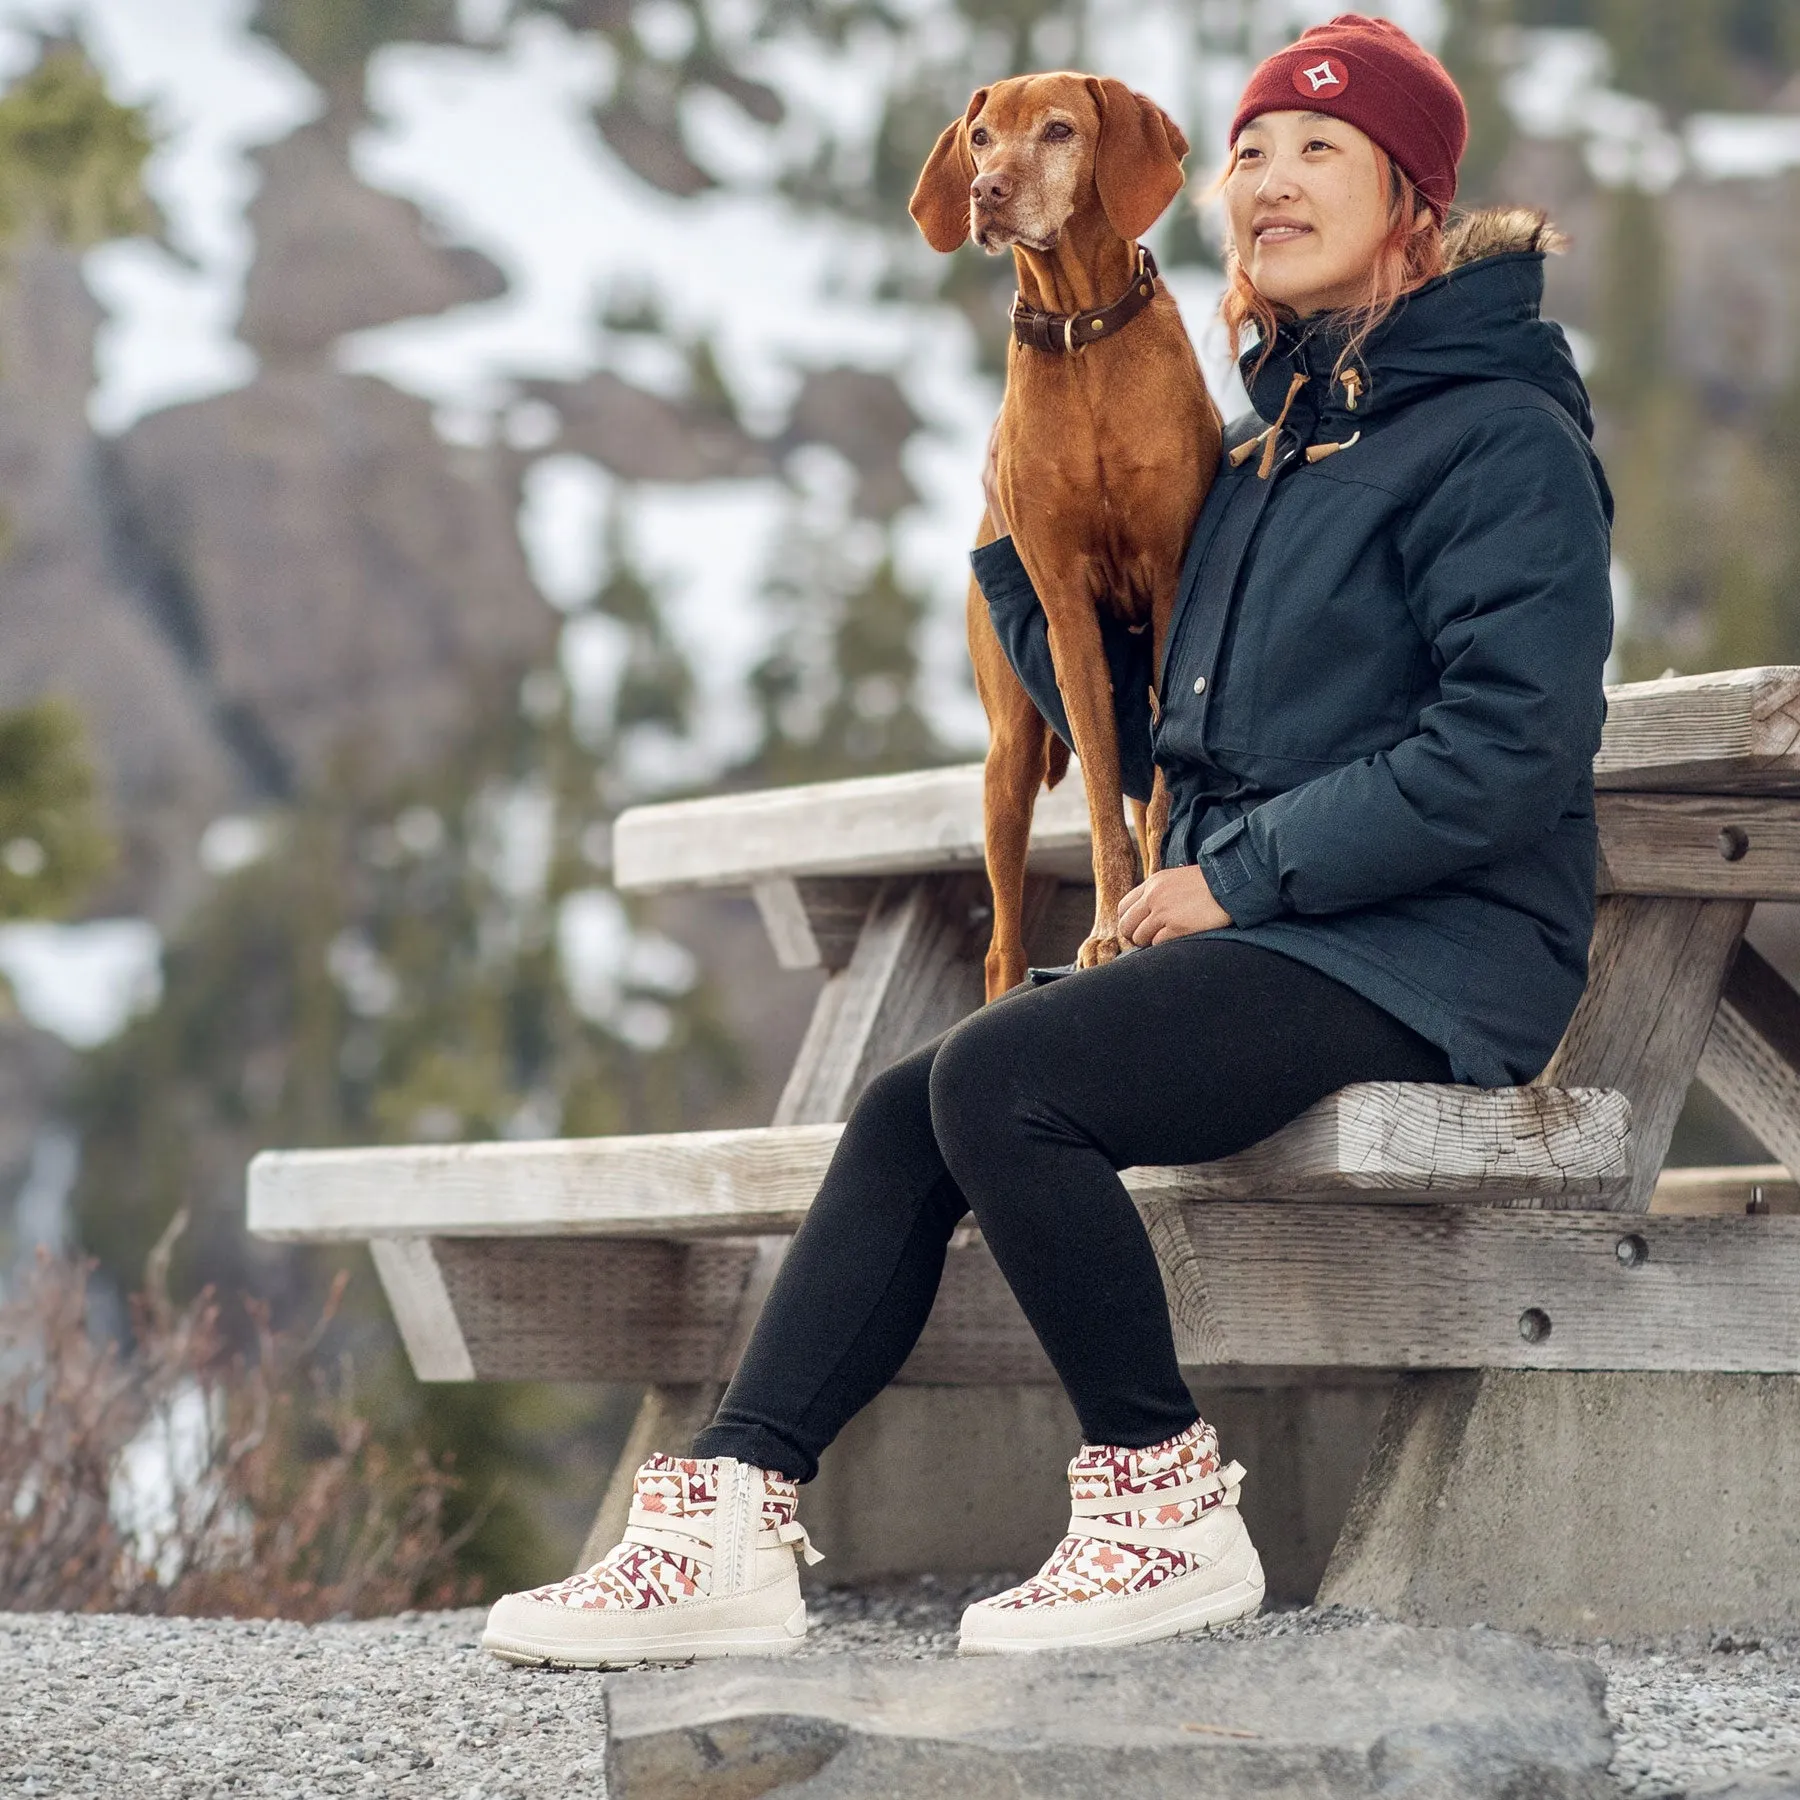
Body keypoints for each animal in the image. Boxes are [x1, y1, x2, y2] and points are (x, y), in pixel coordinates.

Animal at [907, 70, 1216, 1000]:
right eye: (979, 138)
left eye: (1057, 131)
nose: (986, 191)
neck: (1084, 348)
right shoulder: (1068, 614)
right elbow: (1104, 803)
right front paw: (1107, 932)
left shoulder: (1170, 587)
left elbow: (1158, 793)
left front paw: (1154, 904)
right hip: (1007, 756)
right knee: (1002, 945)